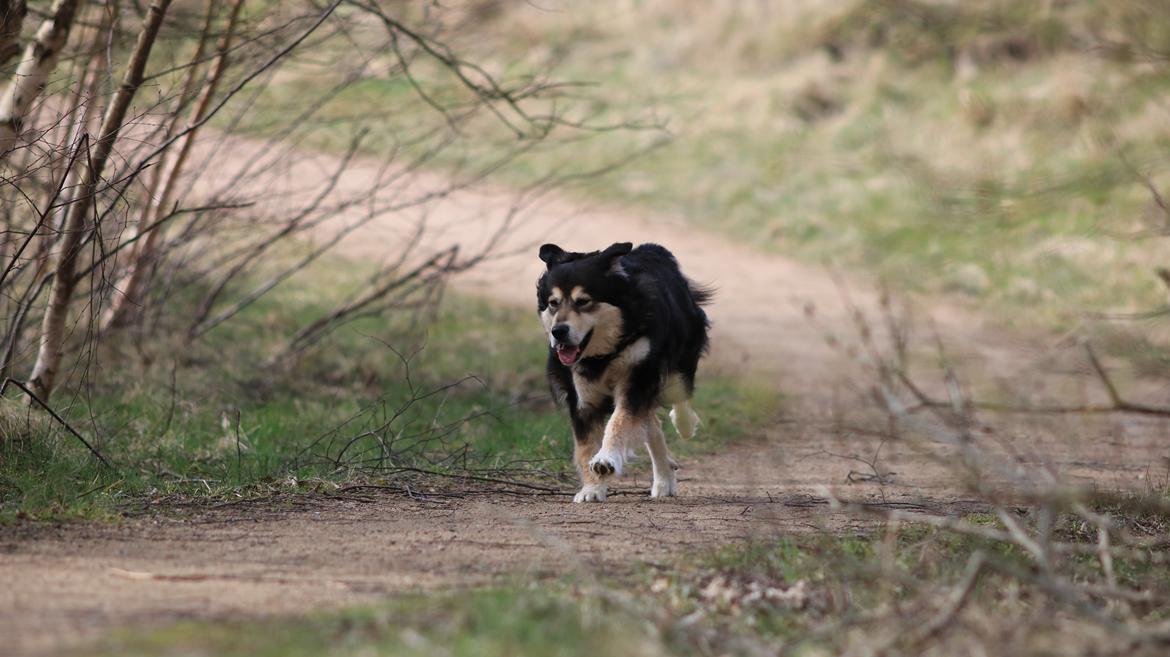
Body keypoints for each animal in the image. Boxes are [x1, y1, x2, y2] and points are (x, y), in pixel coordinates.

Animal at [535, 240, 706, 500]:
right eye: (553, 303)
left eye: (583, 301)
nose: (558, 332)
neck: (604, 355)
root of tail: (652, 248)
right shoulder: (581, 396)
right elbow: (586, 446)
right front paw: (592, 488)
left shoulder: (637, 378)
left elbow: (619, 421)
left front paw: (606, 459)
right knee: (651, 424)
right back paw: (664, 478)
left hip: (679, 360)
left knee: (678, 397)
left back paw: (684, 426)